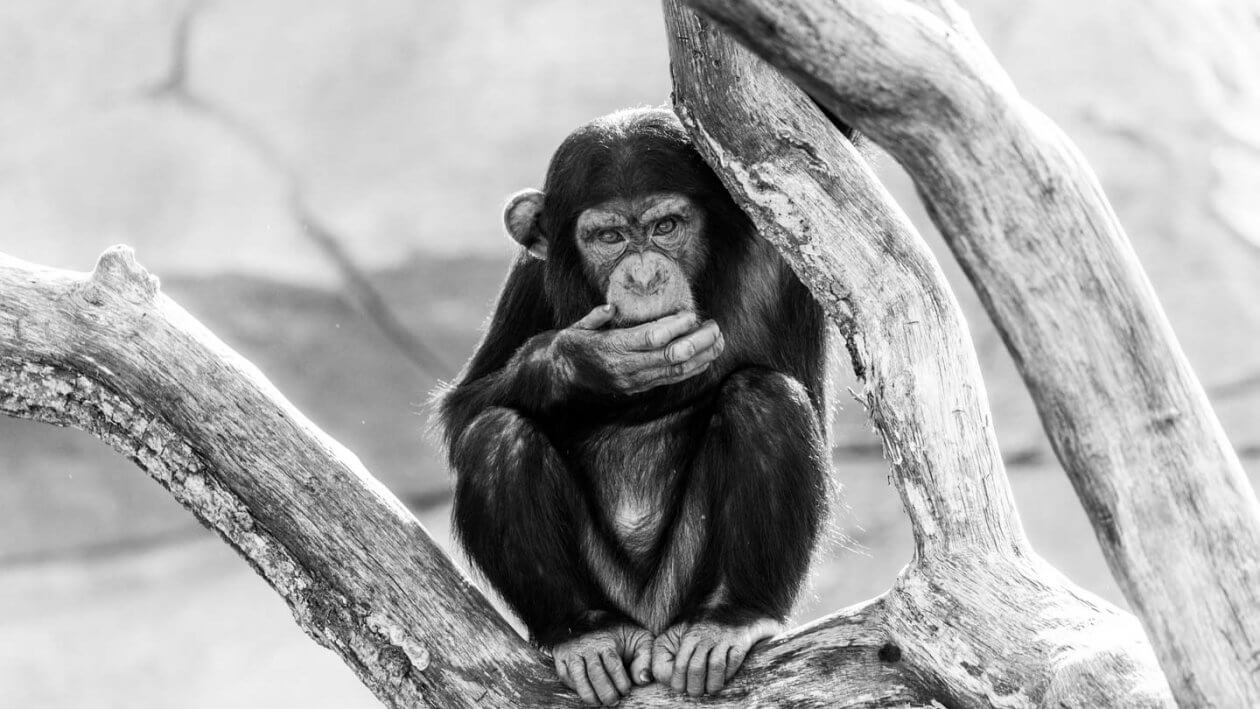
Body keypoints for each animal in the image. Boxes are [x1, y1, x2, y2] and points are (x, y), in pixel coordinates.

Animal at [438, 107, 831, 705]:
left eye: (666, 227)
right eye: (609, 236)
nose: (644, 275)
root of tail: (648, 625)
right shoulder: (530, 274)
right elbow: (464, 408)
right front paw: (593, 361)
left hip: (683, 586)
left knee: (766, 400)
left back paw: (732, 618)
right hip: (611, 589)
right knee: (496, 436)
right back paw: (584, 633)